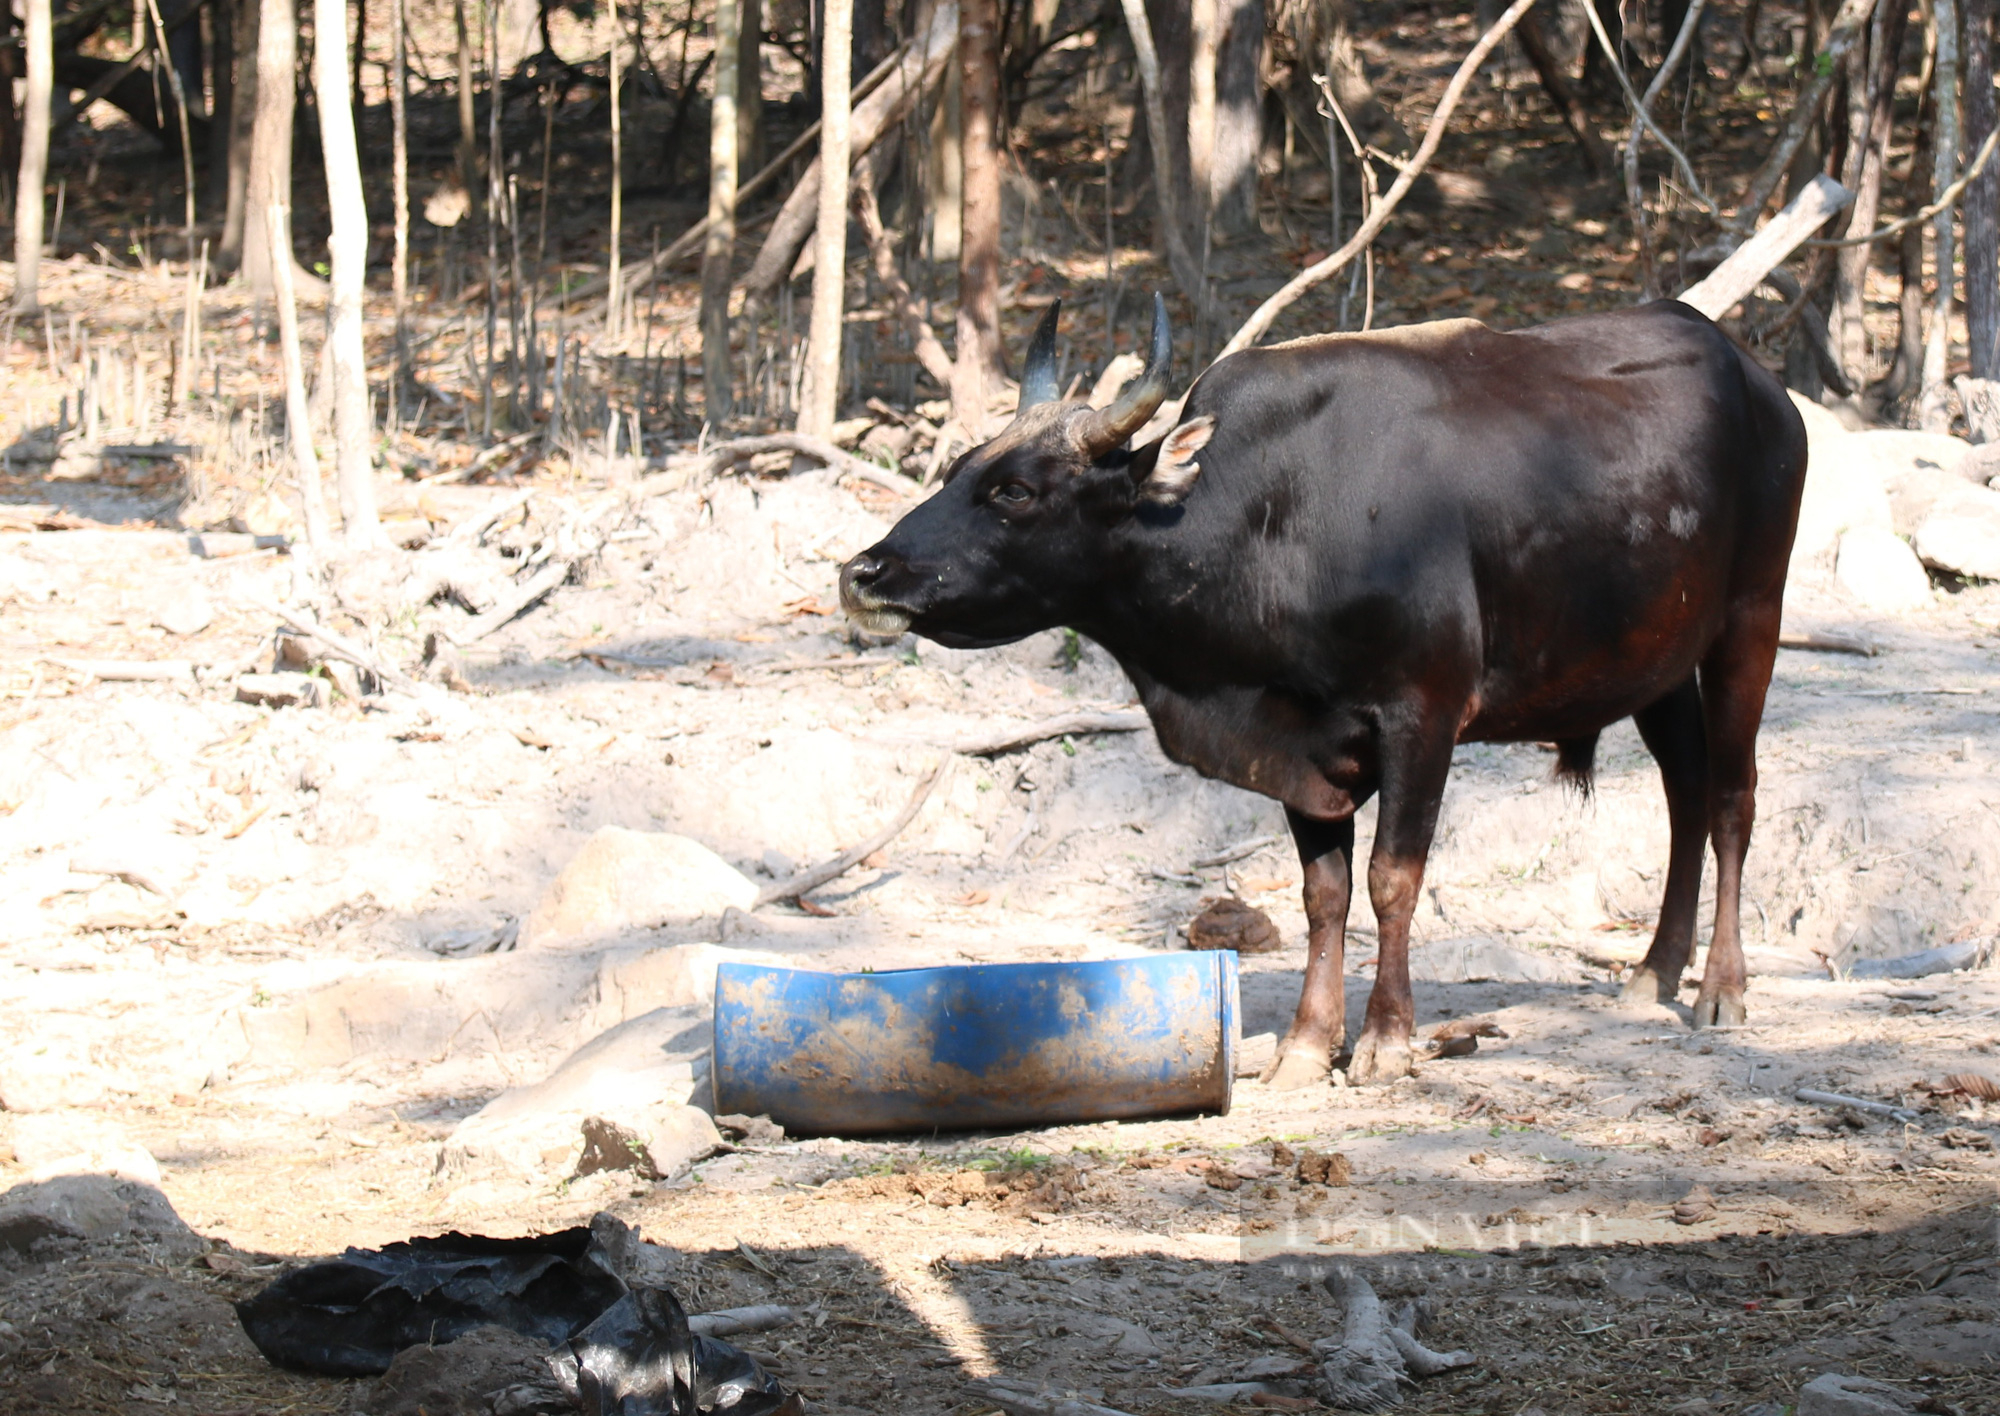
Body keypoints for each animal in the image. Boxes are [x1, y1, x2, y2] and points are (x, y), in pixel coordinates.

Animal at [836, 298, 1808, 1088]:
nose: (864, 572)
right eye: (958, 468)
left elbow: (1392, 879)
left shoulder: (1423, 717)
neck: (1275, 522)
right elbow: (1324, 894)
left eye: (1014, 491)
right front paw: (1307, 1044)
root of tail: (1759, 381)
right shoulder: (1301, 744)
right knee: (1686, 794)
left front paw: (1385, 1040)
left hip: (1749, 622)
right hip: (1654, 662)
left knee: (1733, 797)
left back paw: (1722, 988)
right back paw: (1654, 970)